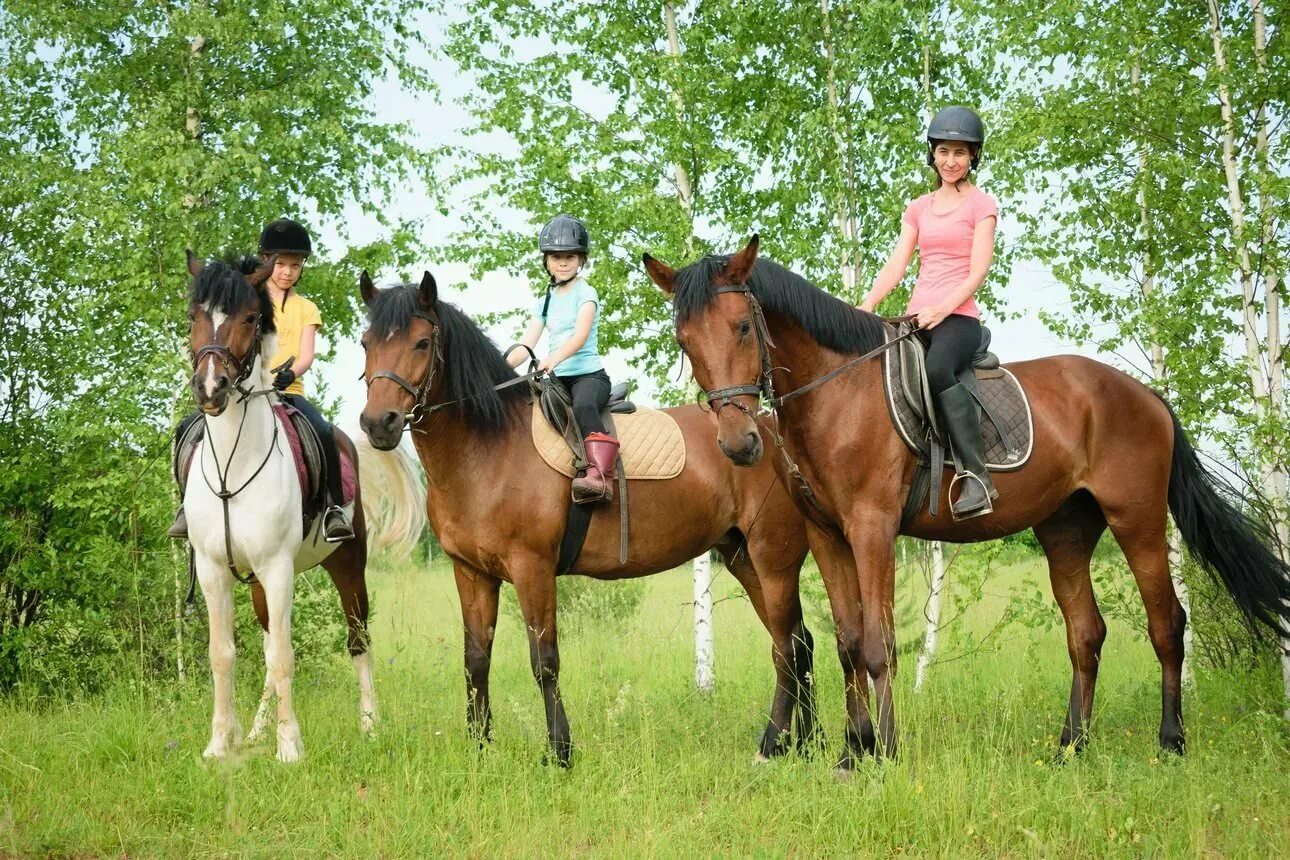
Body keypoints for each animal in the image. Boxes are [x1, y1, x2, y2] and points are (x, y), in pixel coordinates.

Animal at [184, 252, 423, 763]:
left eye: (249, 318)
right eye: (194, 316)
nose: (211, 389)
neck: (234, 466)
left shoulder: (278, 568)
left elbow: (283, 656)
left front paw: (289, 747)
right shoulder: (215, 570)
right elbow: (224, 654)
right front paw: (220, 744)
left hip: (347, 565)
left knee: (358, 640)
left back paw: (369, 726)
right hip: (256, 583)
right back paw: (255, 731)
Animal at [353, 270, 815, 768]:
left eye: (421, 343)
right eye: (365, 343)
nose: (378, 422)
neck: (487, 451)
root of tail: (769, 434)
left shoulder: (532, 569)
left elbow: (544, 660)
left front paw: (559, 751)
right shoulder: (471, 572)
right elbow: (475, 659)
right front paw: (480, 747)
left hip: (773, 561)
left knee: (788, 646)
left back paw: (772, 745)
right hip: (743, 558)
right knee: (800, 643)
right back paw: (808, 744)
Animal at [645, 237, 1290, 773]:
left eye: (743, 328)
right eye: (684, 341)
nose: (738, 443)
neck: (835, 393)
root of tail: (1147, 395)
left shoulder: (872, 528)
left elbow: (878, 645)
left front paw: (887, 753)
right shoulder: (828, 536)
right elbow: (848, 643)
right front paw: (854, 752)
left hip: (1139, 521)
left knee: (1167, 624)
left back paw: (1170, 742)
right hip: (1066, 530)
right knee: (1086, 633)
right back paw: (1070, 746)